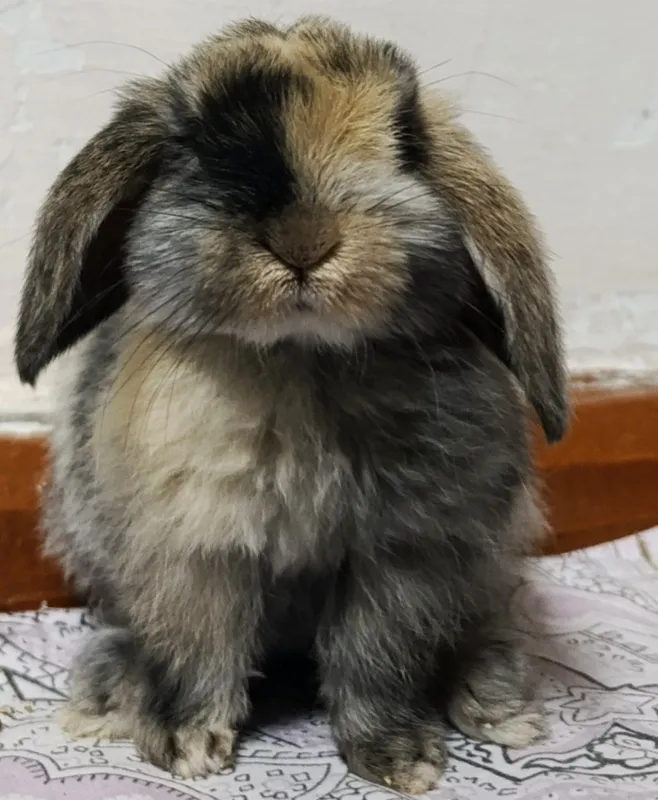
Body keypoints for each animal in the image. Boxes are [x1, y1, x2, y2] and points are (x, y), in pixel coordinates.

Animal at [14, 16, 569, 794]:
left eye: (407, 141)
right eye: (193, 142)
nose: (305, 240)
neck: (299, 357)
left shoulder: (399, 561)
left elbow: (374, 660)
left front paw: (400, 759)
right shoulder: (196, 555)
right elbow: (200, 649)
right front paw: (187, 744)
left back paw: (495, 702)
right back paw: (107, 692)